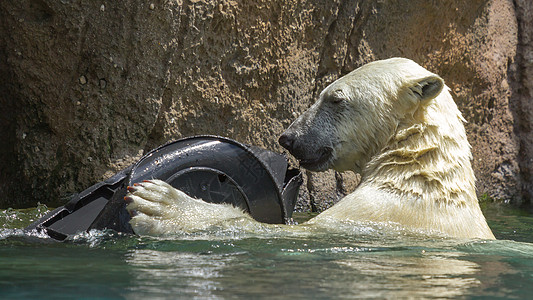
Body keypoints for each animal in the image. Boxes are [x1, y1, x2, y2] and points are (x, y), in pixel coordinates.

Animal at [124, 58, 494, 239]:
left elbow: (288, 235)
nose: (288, 137)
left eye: (335, 98)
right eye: (322, 93)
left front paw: (162, 204)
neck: (418, 170)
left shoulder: (377, 215)